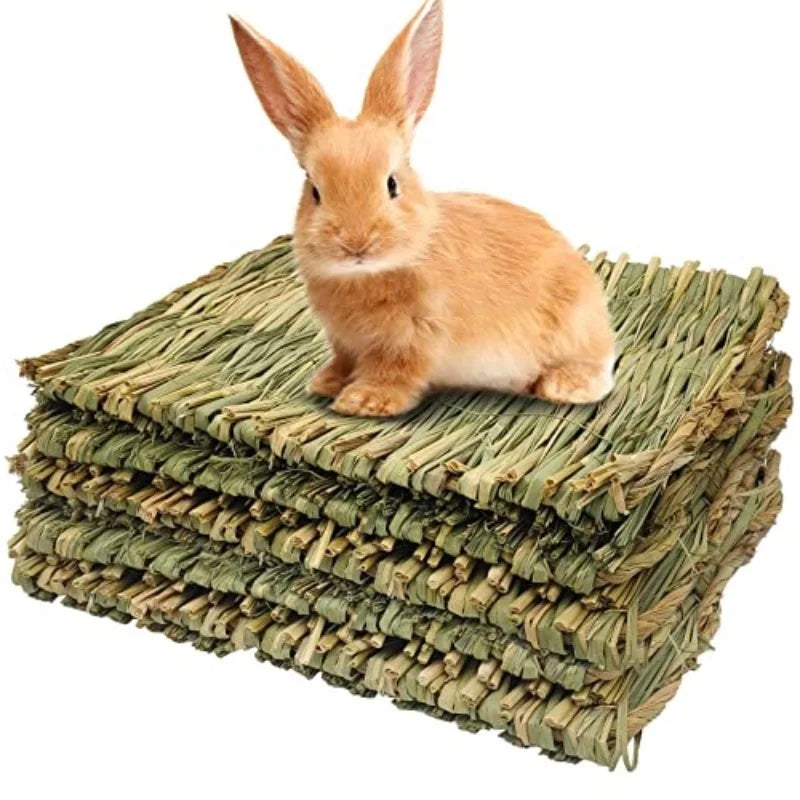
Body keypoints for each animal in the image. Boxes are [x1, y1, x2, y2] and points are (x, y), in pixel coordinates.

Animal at [230, 0, 615, 418]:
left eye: (392, 184)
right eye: (314, 190)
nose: (356, 242)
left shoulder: (413, 337)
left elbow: (395, 371)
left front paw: (363, 401)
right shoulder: (344, 341)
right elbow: (343, 361)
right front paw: (326, 383)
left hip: (572, 331)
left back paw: (564, 387)